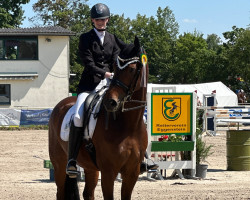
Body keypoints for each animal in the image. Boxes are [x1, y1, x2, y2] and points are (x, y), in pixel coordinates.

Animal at [48, 36, 148, 200]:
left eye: (132, 69)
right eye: (115, 68)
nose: (110, 102)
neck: (128, 126)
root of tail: (61, 104)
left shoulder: (132, 173)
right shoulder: (108, 172)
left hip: (90, 167)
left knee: (88, 193)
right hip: (59, 164)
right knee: (60, 192)